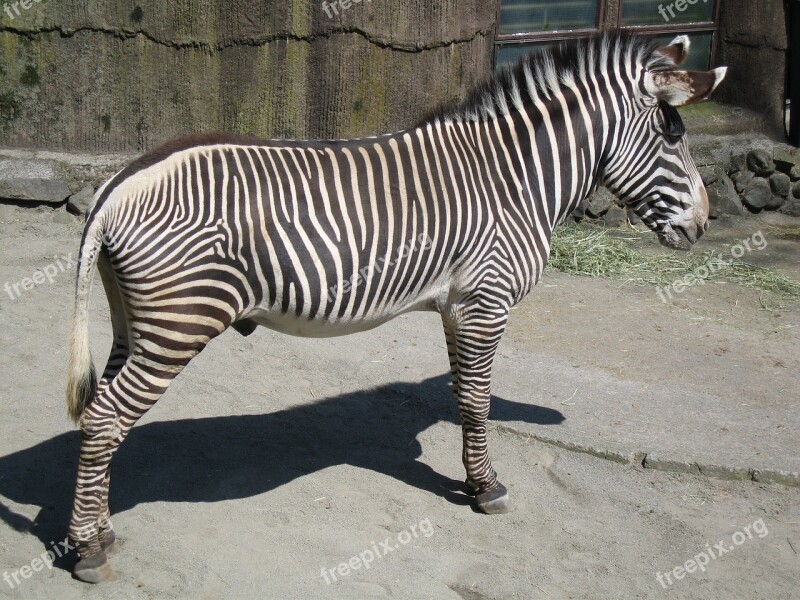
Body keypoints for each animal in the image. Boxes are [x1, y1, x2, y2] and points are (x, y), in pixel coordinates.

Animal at [64, 31, 724, 580]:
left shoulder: (458, 307)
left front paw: (473, 479)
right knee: (105, 419)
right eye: (673, 136)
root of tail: (116, 186)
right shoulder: (486, 301)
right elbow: (479, 401)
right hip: (178, 323)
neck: (512, 177)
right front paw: (486, 489)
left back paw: (96, 531)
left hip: (135, 324)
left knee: (97, 414)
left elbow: (463, 395)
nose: (704, 224)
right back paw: (89, 551)